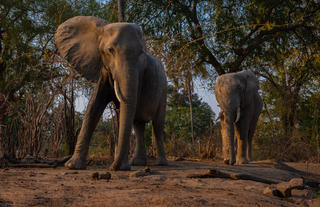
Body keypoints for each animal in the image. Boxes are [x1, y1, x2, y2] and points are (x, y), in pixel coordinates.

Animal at [55, 16, 169, 171]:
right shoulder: (104, 69)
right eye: (110, 50)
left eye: (141, 53)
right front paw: (72, 166)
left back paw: (161, 163)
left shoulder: (140, 75)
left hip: (163, 90)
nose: (112, 168)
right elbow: (93, 107)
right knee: (138, 124)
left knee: (157, 124)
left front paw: (122, 167)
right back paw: (138, 163)